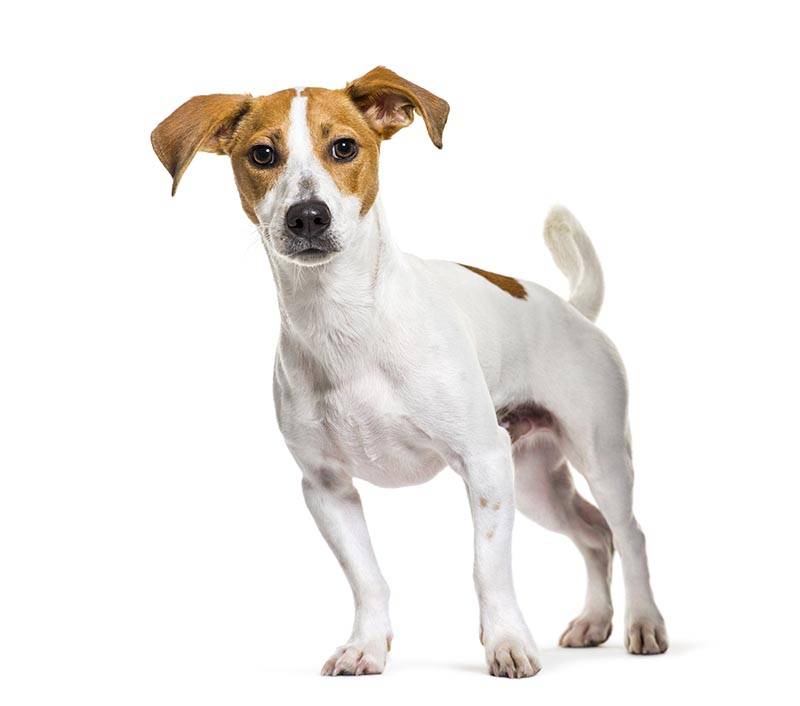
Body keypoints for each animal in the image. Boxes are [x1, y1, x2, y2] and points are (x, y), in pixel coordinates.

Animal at [152, 67, 668, 676]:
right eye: (262, 154)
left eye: (344, 147)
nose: (308, 215)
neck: (344, 322)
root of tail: (573, 310)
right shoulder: (326, 488)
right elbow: (367, 578)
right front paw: (366, 646)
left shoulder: (483, 462)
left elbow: (487, 569)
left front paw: (507, 643)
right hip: (535, 480)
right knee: (593, 535)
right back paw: (594, 620)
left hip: (596, 458)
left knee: (628, 534)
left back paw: (643, 623)